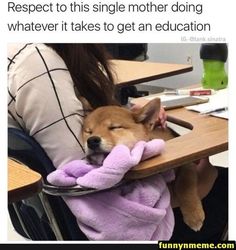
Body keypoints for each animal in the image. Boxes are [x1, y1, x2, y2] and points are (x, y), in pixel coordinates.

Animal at [81, 98, 205, 231]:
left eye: (114, 127)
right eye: (89, 131)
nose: (92, 141)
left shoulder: (187, 164)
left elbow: (184, 184)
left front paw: (193, 214)